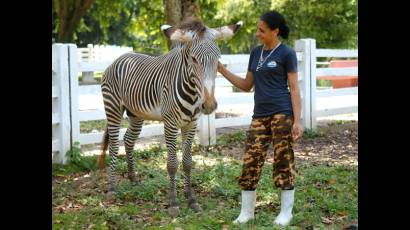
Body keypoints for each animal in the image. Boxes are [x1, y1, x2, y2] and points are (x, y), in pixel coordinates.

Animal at [97, 17, 242, 216]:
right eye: (193, 59)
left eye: (218, 59)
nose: (209, 106)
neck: (192, 92)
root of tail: (121, 57)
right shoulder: (171, 124)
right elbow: (172, 164)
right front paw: (173, 203)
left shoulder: (191, 124)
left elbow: (188, 162)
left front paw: (191, 200)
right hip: (113, 108)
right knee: (113, 144)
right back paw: (112, 188)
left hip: (136, 113)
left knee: (128, 140)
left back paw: (133, 179)